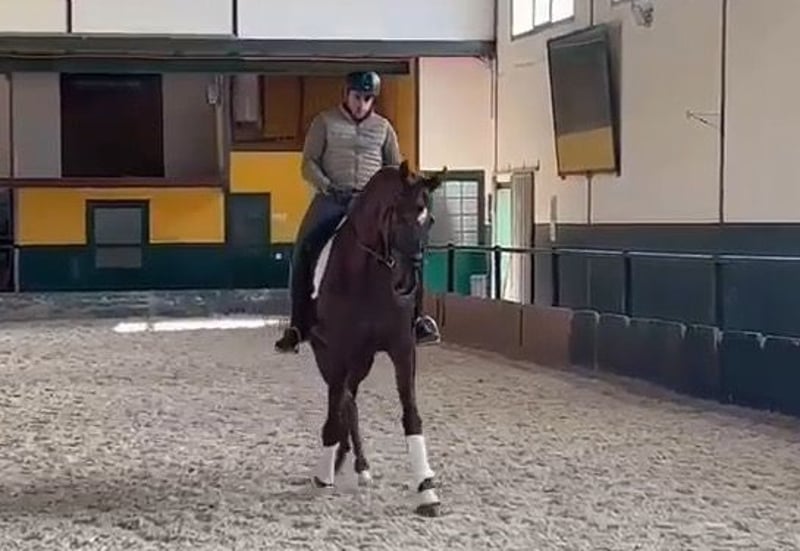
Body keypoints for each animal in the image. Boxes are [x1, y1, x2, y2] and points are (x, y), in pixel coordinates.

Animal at [305, 160, 445, 517]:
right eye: (398, 215)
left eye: (429, 220)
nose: (407, 283)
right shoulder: (337, 352)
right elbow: (334, 412)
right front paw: (322, 477)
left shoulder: (403, 348)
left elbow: (411, 414)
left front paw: (426, 488)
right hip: (333, 359)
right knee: (344, 402)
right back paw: (341, 463)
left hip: (362, 360)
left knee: (349, 401)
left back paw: (358, 465)